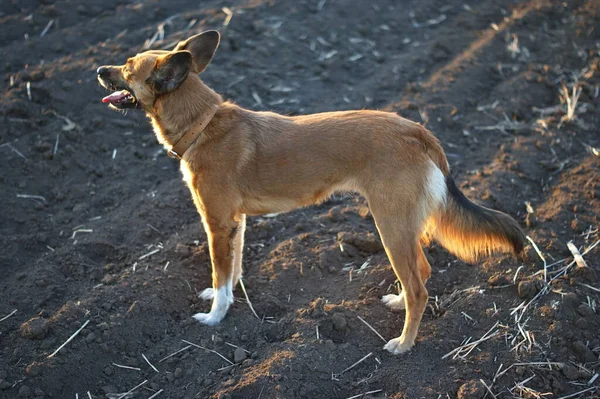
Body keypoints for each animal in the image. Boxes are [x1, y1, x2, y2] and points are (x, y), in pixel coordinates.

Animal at [96, 32, 524, 356]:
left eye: (128, 67)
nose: (99, 70)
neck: (202, 124)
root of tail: (416, 130)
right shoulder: (236, 222)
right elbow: (232, 268)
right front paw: (229, 298)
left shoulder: (216, 222)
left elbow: (220, 272)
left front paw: (215, 317)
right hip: (401, 224)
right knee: (422, 271)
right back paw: (399, 302)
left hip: (390, 224)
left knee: (420, 287)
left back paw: (404, 343)